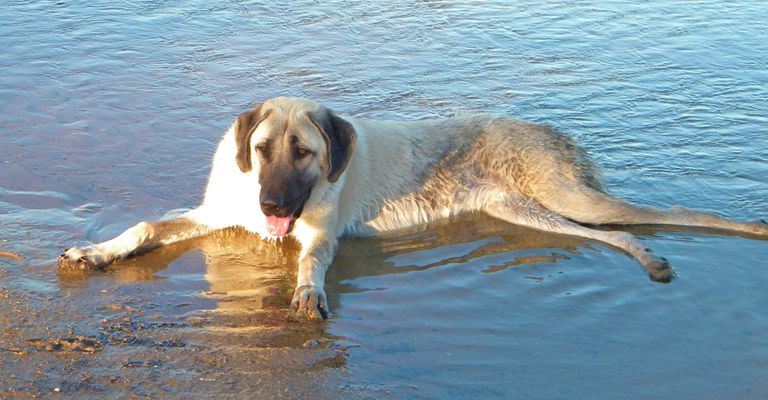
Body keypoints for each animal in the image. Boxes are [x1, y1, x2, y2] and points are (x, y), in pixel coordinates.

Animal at [58, 96, 768, 318]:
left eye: (304, 151)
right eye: (261, 149)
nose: (272, 203)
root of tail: (548, 129)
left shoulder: (319, 236)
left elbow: (310, 263)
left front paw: (307, 293)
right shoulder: (216, 214)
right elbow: (148, 223)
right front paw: (97, 250)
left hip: (571, 196)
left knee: (670, 216)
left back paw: (734, 231)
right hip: (525, 210)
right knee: (611, 232)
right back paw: (652, 259)